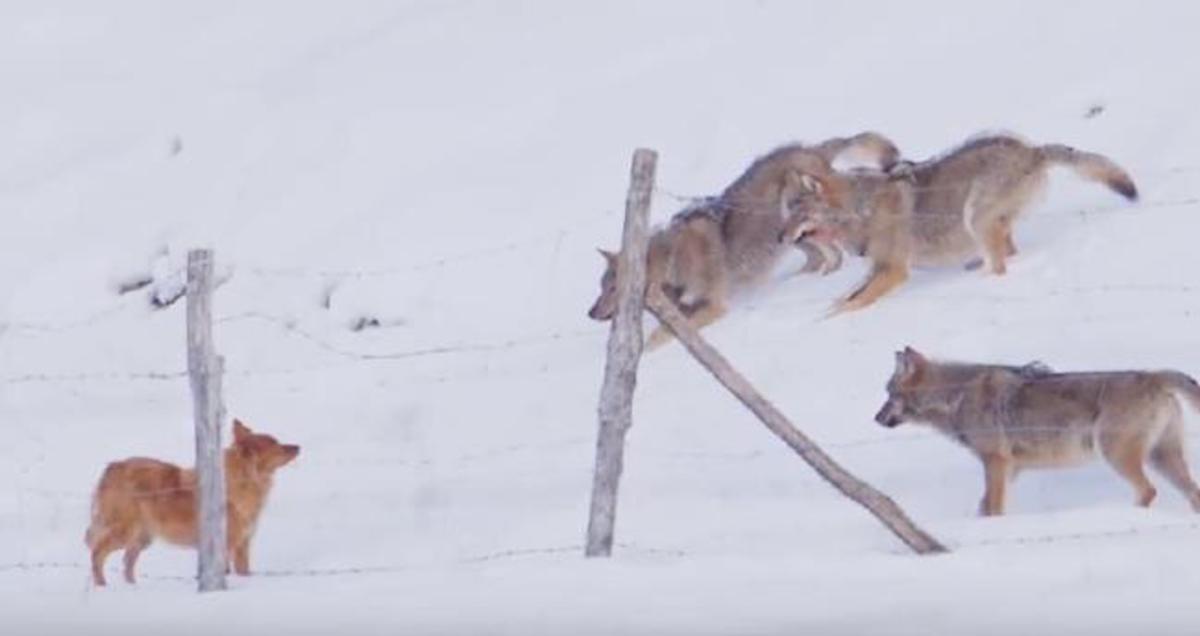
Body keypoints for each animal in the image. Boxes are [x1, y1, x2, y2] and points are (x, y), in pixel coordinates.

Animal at [85, 415, 300, 583]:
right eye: (276, 444)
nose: (298, 446)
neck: (242, 480)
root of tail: (114, 466)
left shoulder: (242, 545)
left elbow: (244, 572)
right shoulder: (225, 545)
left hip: (142, 538)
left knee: (127, 562)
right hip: (125, 531)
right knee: (97, 553)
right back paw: (102, 587)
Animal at [585, 130, 897, 345]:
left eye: (613, 288)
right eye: (602, 287)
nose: (590, 313)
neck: (673, 263)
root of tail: (807, 148)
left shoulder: (714, 307)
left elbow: (656, 340)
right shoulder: (684, 312)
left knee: (835, 254)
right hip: (791, 238)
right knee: (824, 258)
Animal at [782, 133, 1137, 312]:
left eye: (797, 213)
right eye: (787, 213)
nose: (779, 238)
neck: (860, 209)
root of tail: (1032, 150)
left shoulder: (893, 270)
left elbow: (853, 304)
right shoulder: (878, 268)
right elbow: (846, 297)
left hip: (975, 217)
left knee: (1000, 265)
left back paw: (978, 280)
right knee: (1008, 251)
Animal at [873, 345, 1200, 513]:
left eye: (889, 394)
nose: (875, 418)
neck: (956, 395)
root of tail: (1153, 375)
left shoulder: (996, 463)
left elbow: (993, 507)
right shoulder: (1005, 469)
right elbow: (984, 506)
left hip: (1117, 456)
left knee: (1148, 491)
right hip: (1162, 457)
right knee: (1191, 493)